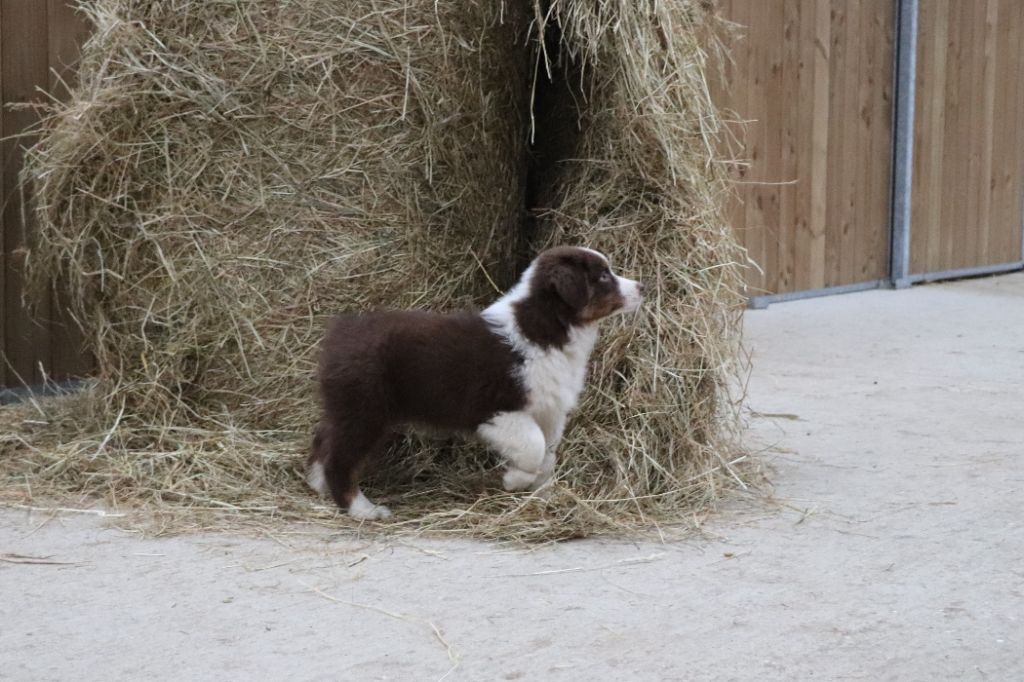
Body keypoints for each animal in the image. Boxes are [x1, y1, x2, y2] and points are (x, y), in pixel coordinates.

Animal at [305, 246, 638, 518]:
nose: (642, 286)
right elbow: (534, 447)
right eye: (603, 276)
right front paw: (514, 480)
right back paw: (362, 509)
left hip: (347, 408)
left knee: (325, 440)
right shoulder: (494, 409)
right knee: (341, 459)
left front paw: (544, 495)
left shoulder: (550, 409)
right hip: (365, 411)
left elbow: (548, 455)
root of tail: (339, 334)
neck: (544, 328)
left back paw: (318, 484)